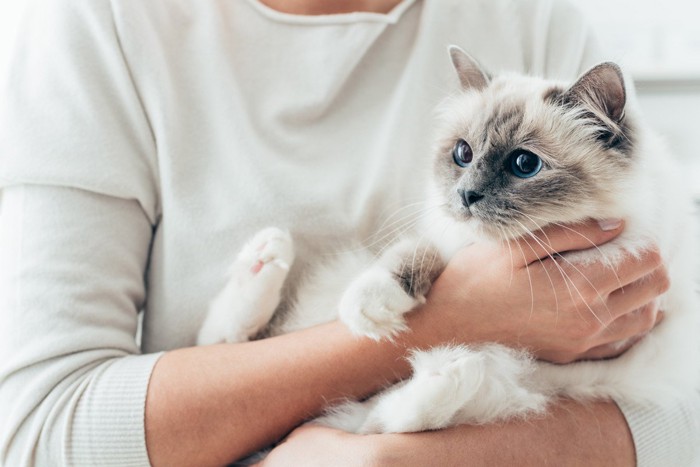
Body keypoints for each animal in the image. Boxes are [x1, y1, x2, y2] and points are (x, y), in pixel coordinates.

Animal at [197, 46, 700, 436]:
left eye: (524, 165)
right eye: (463, 154)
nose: (466, 195)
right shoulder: (447, 238)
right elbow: (410, 256)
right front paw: (372, 307)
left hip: (524, 384)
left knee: (391, 418)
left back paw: (451, 371)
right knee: (227, 340)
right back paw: (267, 255)